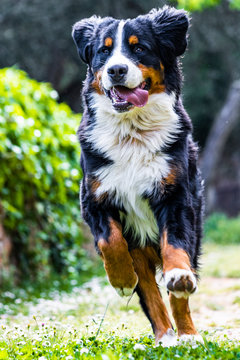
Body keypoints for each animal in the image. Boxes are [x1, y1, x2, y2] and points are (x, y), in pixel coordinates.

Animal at [72, 7, 203, 348]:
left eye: (139, 48)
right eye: (104, 51)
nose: (117, 70)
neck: (131, 131)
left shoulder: (175, 197)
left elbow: (175, 248)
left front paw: (178, 277)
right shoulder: (94, 197)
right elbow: (110, 241)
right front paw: (121, 279)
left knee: (174, 293)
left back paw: (186, 334)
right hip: (139, 248)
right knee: (148, 291)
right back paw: (164, 336)